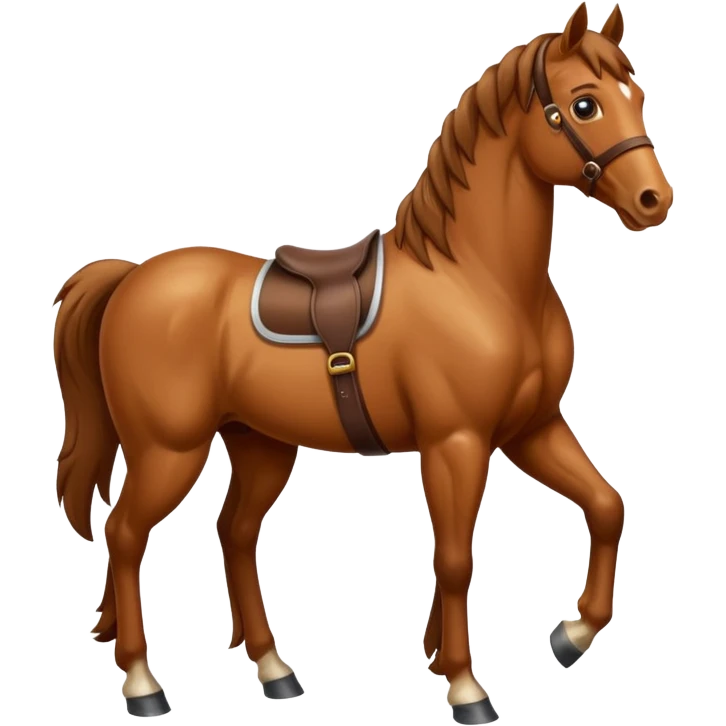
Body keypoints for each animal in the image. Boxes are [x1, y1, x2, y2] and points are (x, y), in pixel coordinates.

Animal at [52, 3, 673, 723]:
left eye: (637, 95)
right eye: (584, 103)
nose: (655, 201)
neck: (479, 280)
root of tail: (130, 278)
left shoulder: (530, 429)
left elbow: (606, 507)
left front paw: (569, 635)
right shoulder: (456, 443)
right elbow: (456, 559)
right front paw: (466, 687)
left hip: (260, 445)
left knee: (234, 533)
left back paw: (274, 672)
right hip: (167, 450)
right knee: (126, 536)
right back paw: (142, 684)